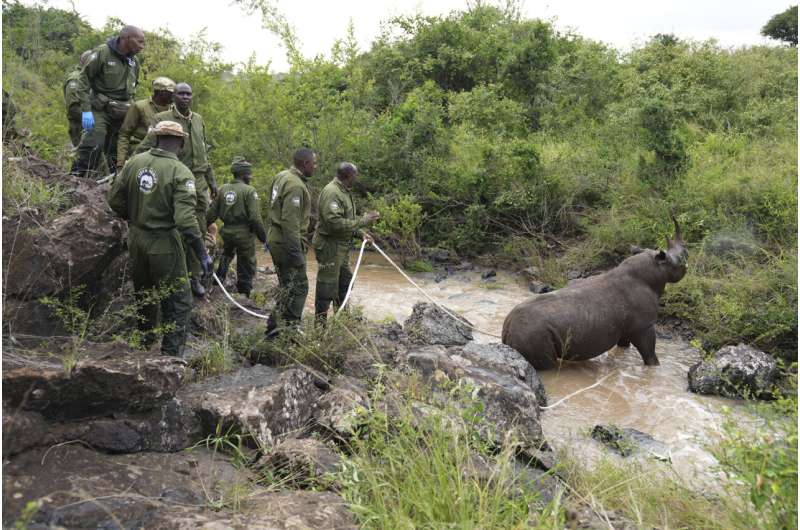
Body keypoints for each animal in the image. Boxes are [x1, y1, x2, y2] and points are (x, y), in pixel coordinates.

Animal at [506, 217, 688, 370]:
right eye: (680, 261)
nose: (687, 265)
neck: (655, 268)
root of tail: (506, 331)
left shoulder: (628, 326)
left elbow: (624, 345)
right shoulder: (644, 325)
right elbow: (650, 356)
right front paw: (655, 369)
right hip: (532, 334)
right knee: (548, 365)